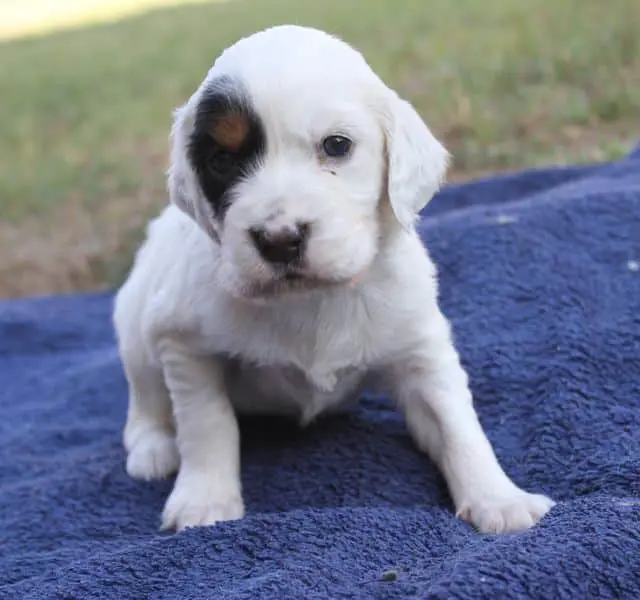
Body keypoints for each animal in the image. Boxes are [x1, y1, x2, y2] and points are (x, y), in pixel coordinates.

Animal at [113, 24, 555, 533]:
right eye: (221, 161)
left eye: (337, 145)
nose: (279, 239)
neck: (313, 297)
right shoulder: (185, 344)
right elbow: (206, 422)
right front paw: (204, 503)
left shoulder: (419, 346)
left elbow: (455, 421)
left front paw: (498, 498)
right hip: (136, 327)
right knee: (144, 397)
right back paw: (152, 449)